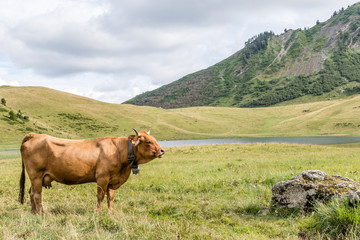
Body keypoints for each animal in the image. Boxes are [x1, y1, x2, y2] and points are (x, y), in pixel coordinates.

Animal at [19, 128, 165, 213]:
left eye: (155, 139)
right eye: (147, 142)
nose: (162, 150)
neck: (119, 151)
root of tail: (36, 135)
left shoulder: (112, 180)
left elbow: (110, 197)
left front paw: (111, 212)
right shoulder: (102, 177)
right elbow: (100, 196)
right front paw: (98, 212)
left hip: (36, 178)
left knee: (31, 193)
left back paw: (33, 212)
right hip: (36, 176)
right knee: (36, 194)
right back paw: (41, 213)